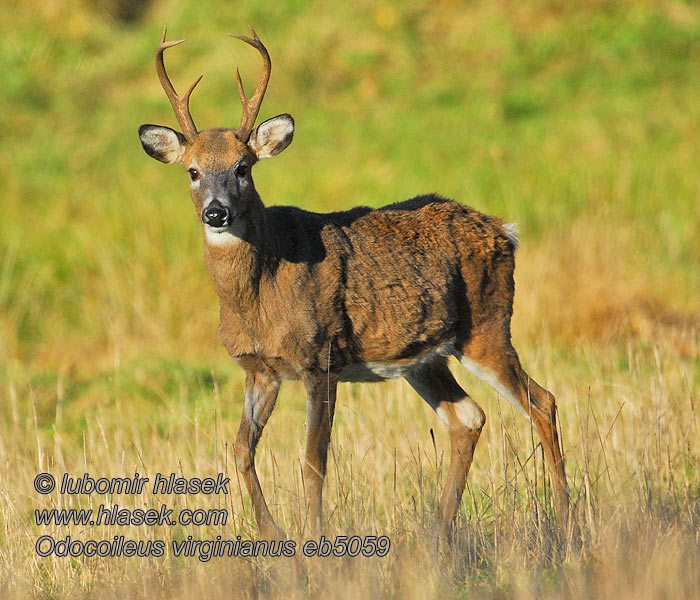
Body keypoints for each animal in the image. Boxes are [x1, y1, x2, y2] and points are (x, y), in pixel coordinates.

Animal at [138, 25, 576, 540]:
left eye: (243, 168)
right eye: (193, 171)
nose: (216, 212)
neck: (259, 295)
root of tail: (505, 230)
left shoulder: (321, 357)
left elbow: (312, 462)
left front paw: (313, 540)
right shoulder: (260, 368)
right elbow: (241, 451)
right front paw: (273, 538)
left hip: (486, 327)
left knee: (542, 401)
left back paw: (566, 521)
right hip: (424, 357)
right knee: (468, 416)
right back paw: (439, 534)